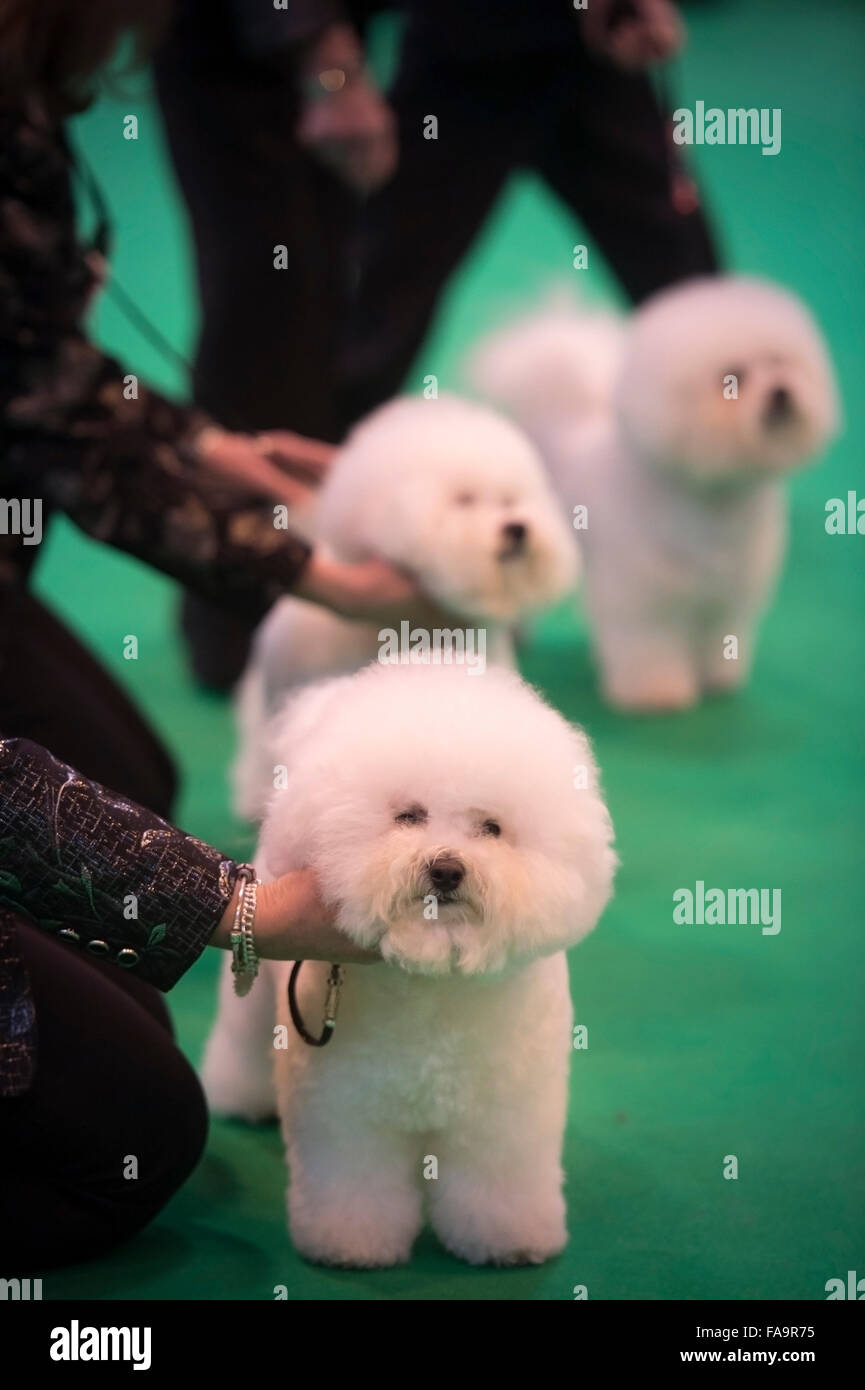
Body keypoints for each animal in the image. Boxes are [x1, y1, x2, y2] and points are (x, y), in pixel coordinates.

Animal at [203, 661, 617, 1273]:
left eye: (491, 828)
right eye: (408, 816)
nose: (446, 869)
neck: (434, 982)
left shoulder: (505, 1117)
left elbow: (498, 1184)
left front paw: (508, 1242)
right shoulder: (344, 1110)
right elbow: (353, 1182)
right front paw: (349, 1245)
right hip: (256, 1012)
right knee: (241, 1043)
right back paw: (237, 1097)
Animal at [478, 276, 845, 711]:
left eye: (779, 362)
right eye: (733, 376)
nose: (782, 391)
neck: (713, 503)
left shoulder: (727, 596)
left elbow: (717, 636)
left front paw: (717, 678)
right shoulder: (645, 598)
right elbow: (648, 645)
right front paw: (656, 692)